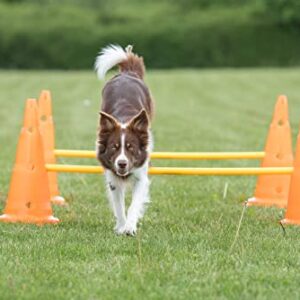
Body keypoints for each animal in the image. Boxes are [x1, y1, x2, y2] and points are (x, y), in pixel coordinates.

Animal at [94, 45, 155, 237]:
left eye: (130, 147)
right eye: (114, 148)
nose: (121, 164)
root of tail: (127, 73)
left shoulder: (141, 176)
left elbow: (134, 204)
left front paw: (130, 227)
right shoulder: (112, 178)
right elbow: (119, 205)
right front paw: (121, 227)